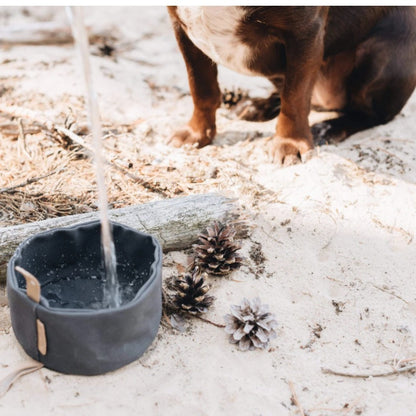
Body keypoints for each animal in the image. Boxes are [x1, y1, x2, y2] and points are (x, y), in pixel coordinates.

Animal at [167, 5, 416, 164]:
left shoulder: (304, 34)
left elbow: (295, 98)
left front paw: (290, 144)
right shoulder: (182, 29)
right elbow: (201, 88)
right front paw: (197, 133)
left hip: (379, 55)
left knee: (373, 115)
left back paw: (328, 127)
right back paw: (254, 106)